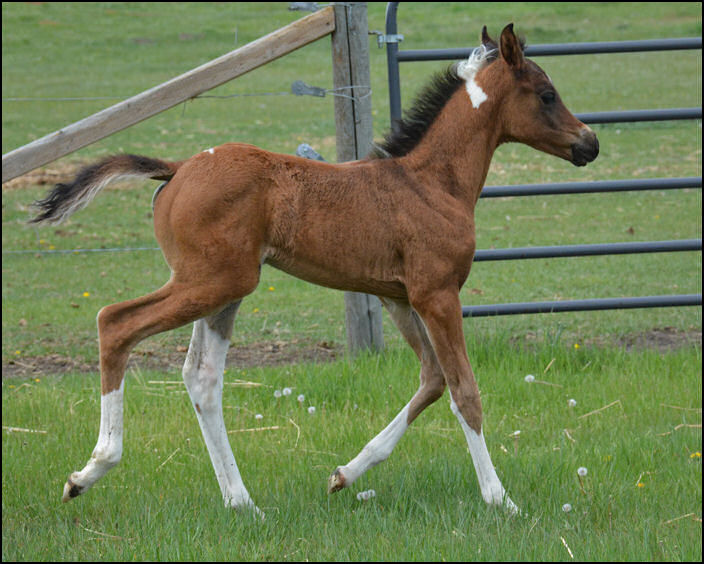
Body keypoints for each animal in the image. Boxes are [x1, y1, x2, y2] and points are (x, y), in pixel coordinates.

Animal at [30, 24, 596, 512]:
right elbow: (464, 391)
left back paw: (242, 502)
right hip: (211, 281)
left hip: (225, 288)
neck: (430, 183)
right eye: (546, 94)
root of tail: (179, 168)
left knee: (202, 378)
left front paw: (345, 474)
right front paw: (501, 500)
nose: (589, 143)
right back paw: (90, 472)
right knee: (115, 323)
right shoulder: (437, 294)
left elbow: (432, 380)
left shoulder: (398, 297)